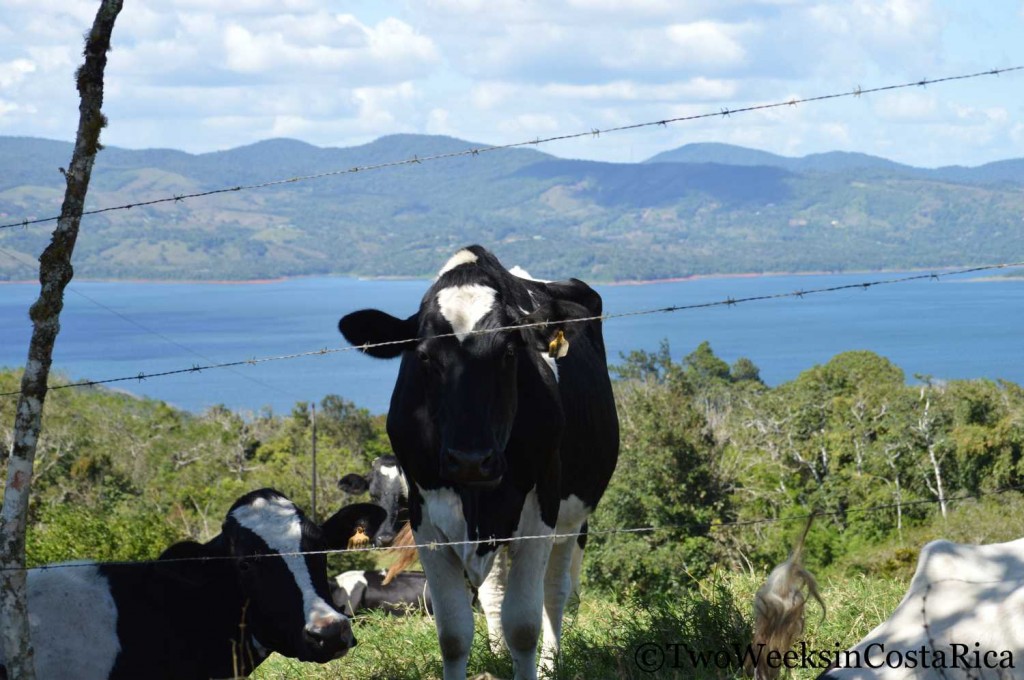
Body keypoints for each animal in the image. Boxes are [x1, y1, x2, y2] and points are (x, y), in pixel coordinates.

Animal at [338, 245, 619, 680]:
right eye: (424, 357)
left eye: (509, 352)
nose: (470, 460)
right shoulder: (426, 520)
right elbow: (454, 633)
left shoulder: (541, 509)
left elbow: (524, 623)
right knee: (494, 592)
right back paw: (497, 651)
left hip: (572, 517)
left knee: (556, 594)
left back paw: (550, 664)